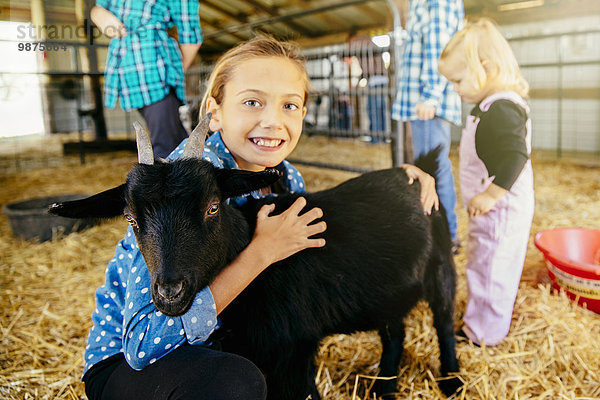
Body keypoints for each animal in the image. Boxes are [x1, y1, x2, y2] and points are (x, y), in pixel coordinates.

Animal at [52, 115, 464, 396]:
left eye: (212, 207)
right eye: (131, 218)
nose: (169, 292)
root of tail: (416, 171)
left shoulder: (295, 347)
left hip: (441, 266)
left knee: (443, 322)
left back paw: (452, 380)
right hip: (387, 290)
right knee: (395, 330)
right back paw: (384, 386)